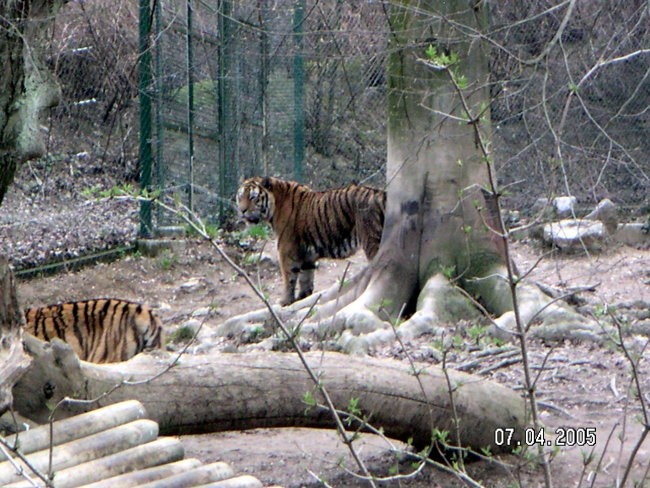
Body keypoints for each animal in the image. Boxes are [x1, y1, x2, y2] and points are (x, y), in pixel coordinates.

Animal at [235, 175, 382, 304]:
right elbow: (306, 278)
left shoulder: (286, 249)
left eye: (253, 197)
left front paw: (285, 301)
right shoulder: (307, 255)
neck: (275, 204)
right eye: (240, 197)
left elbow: (288, 277)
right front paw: (303, 297)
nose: (241, 210)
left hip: (371, 241)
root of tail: (381, 194)